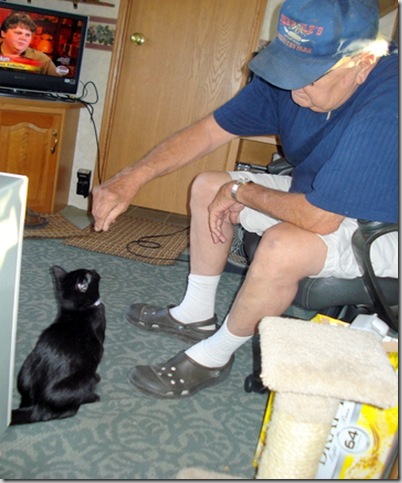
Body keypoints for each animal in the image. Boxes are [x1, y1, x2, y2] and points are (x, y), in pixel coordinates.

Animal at [11, 265, 106, 425]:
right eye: (91, 274)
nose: (94, 269)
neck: (76, 311)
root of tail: (36, 406)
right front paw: (97, 378)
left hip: (24, 371)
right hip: (82, 380)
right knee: (68, 411)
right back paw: (94, 396)